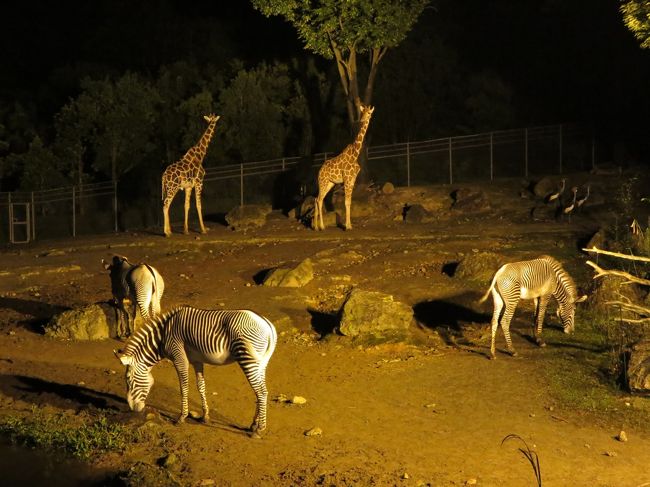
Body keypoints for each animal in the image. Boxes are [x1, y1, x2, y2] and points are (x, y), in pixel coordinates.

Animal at [114, 304, 276, 438]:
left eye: (128, 380)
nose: (133, 409)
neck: (163, 336)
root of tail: (266, 324)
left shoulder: (179, 358)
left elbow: (184, 388)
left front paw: (182, 417)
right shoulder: (197, 360)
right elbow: (201, 387)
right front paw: (205, 416)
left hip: (248, 359)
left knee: (262, 392)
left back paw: (259, 430)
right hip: (261, 362)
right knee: (260, 391)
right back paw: (253, 424)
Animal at [314, 102, 374, 231]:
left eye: (369, 113)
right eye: (362, 112)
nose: (362, 120)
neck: (355, 154)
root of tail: (319, 171)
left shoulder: (352, 180)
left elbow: (349, 201)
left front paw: (349, 225)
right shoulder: (346, 179)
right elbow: (346, 202)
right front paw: (347, 226)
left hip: (330, 183)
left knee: (317, 198)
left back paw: (315, 227)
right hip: (323, 181)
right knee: (319, 199)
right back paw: (322, 226)